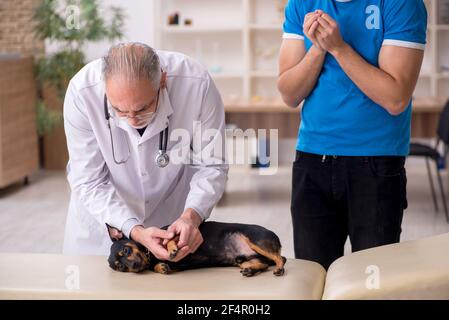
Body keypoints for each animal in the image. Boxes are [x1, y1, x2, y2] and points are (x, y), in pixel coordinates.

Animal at [107, 221, 286, 276]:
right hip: (244, 259)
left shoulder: (176, 233)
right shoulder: (176, 266)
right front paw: (161, 267)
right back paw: (250, 270)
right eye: (121, 267)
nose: (134, 266)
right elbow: (162, 267)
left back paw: (278, 269)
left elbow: (169, 239)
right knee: (263, 264)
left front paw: (171, 249)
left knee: (280, 259)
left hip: (256, 241)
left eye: (126, 251)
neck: (150, 255)